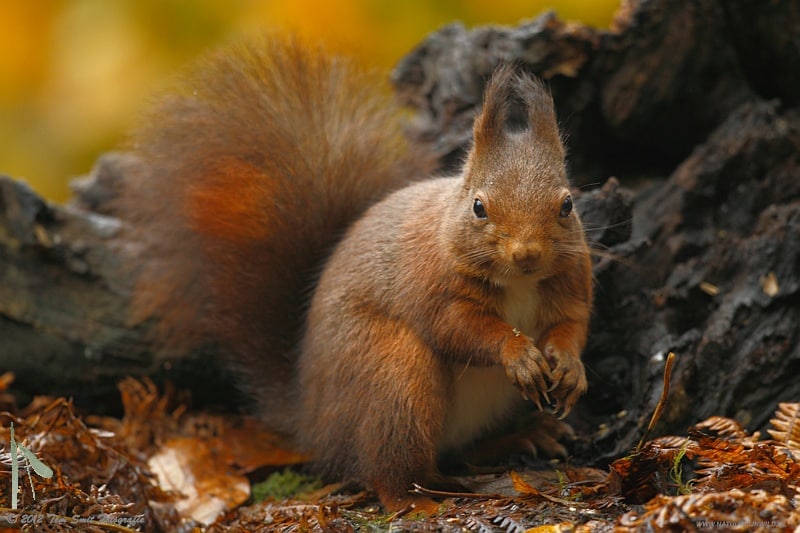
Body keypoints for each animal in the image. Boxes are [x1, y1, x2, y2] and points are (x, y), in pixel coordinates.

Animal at [120, 35, 592, 510]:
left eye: (568, 204)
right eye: (478, 207)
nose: (527, 254)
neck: (519, 282)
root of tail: (313, 421)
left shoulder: (572, 284)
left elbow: (571, 324)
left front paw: (570, 367)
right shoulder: (430, 281)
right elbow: (458, 328)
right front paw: (518, 353)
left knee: (463, 448)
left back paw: (524, 435)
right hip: (394, 374)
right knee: (388, 467)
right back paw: (416, 498)